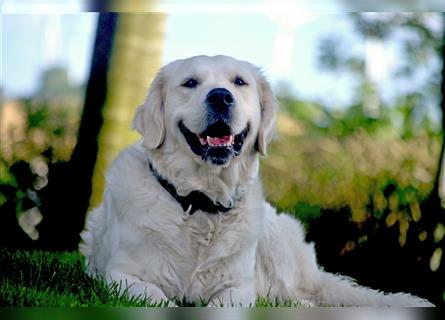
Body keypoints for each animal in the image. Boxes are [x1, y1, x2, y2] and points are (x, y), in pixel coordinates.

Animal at [79, 55, 430, 308]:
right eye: (189, 83)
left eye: (240, 82)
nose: (221, 97)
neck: (200, 200)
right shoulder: (120, 275)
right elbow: (156, 298)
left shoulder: (239, 286)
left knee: (295, 296)